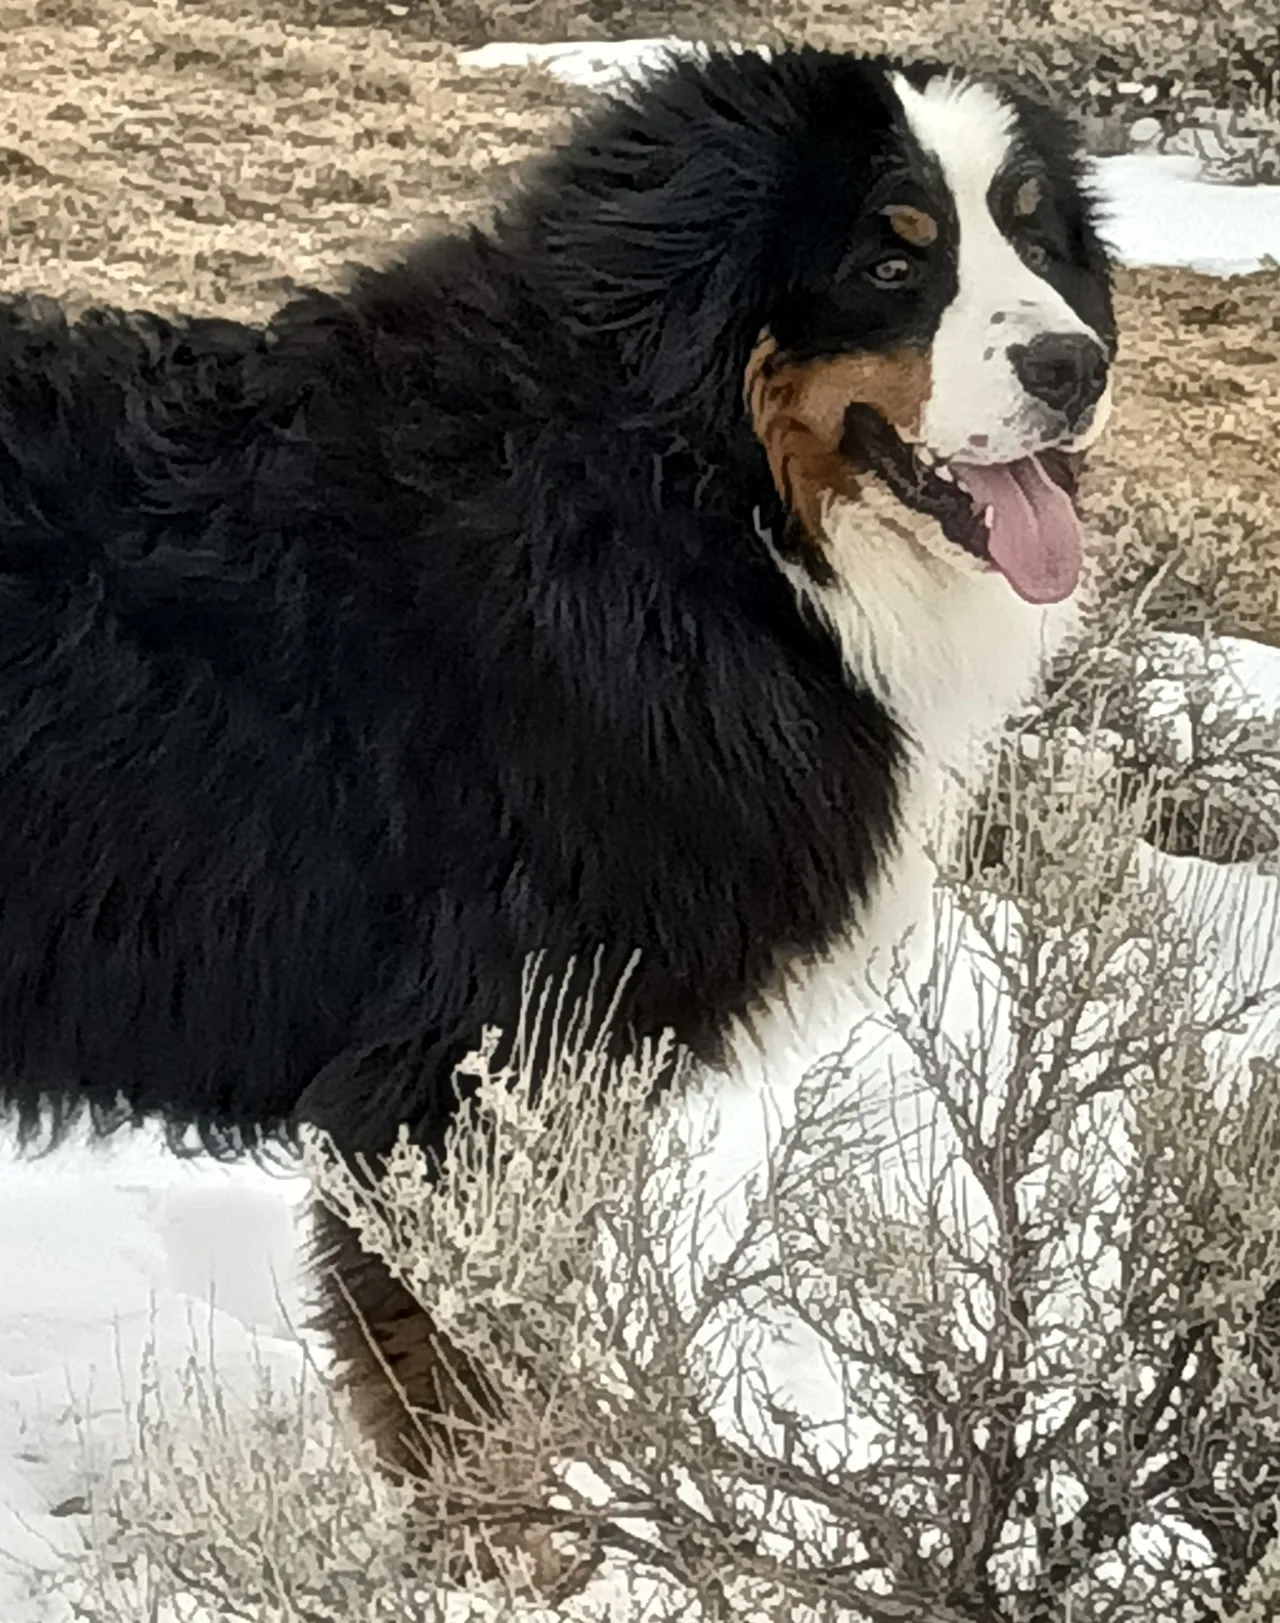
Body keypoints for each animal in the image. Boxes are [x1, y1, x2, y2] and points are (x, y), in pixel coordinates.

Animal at [0, 41, 1109, 1519]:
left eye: (1038, 238)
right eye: (891, 259)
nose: (1074, 362)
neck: (679, 513)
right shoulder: (468, 1071)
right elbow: (475, 1401)